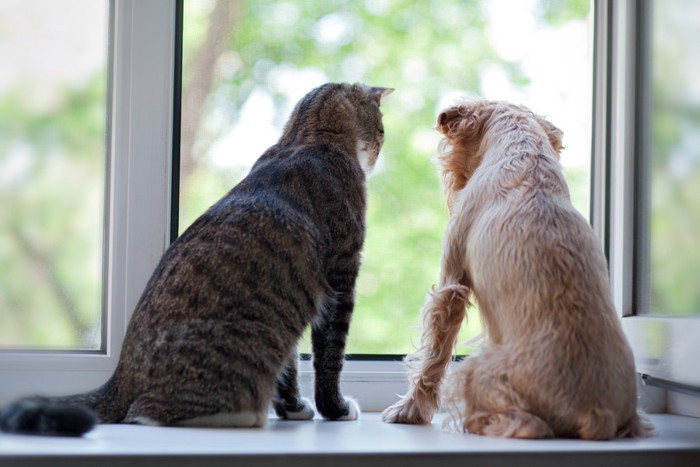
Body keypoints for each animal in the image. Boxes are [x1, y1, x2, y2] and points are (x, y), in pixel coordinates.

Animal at [0, 82, 394, 436]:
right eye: (382, 130)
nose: (378, 154)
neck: (304, 136)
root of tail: (120, 378)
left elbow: (291, 368)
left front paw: (294, 409)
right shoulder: (341, 277)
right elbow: (329, 356)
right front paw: (336, 409)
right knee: (146, 412)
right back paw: (244, 415)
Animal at [380, 100, 652, 440]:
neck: (525, 154)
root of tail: (594, 412)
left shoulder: (451, 284)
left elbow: (434, 355)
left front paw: (409, 410)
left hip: (477, 368)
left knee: (525, 423)